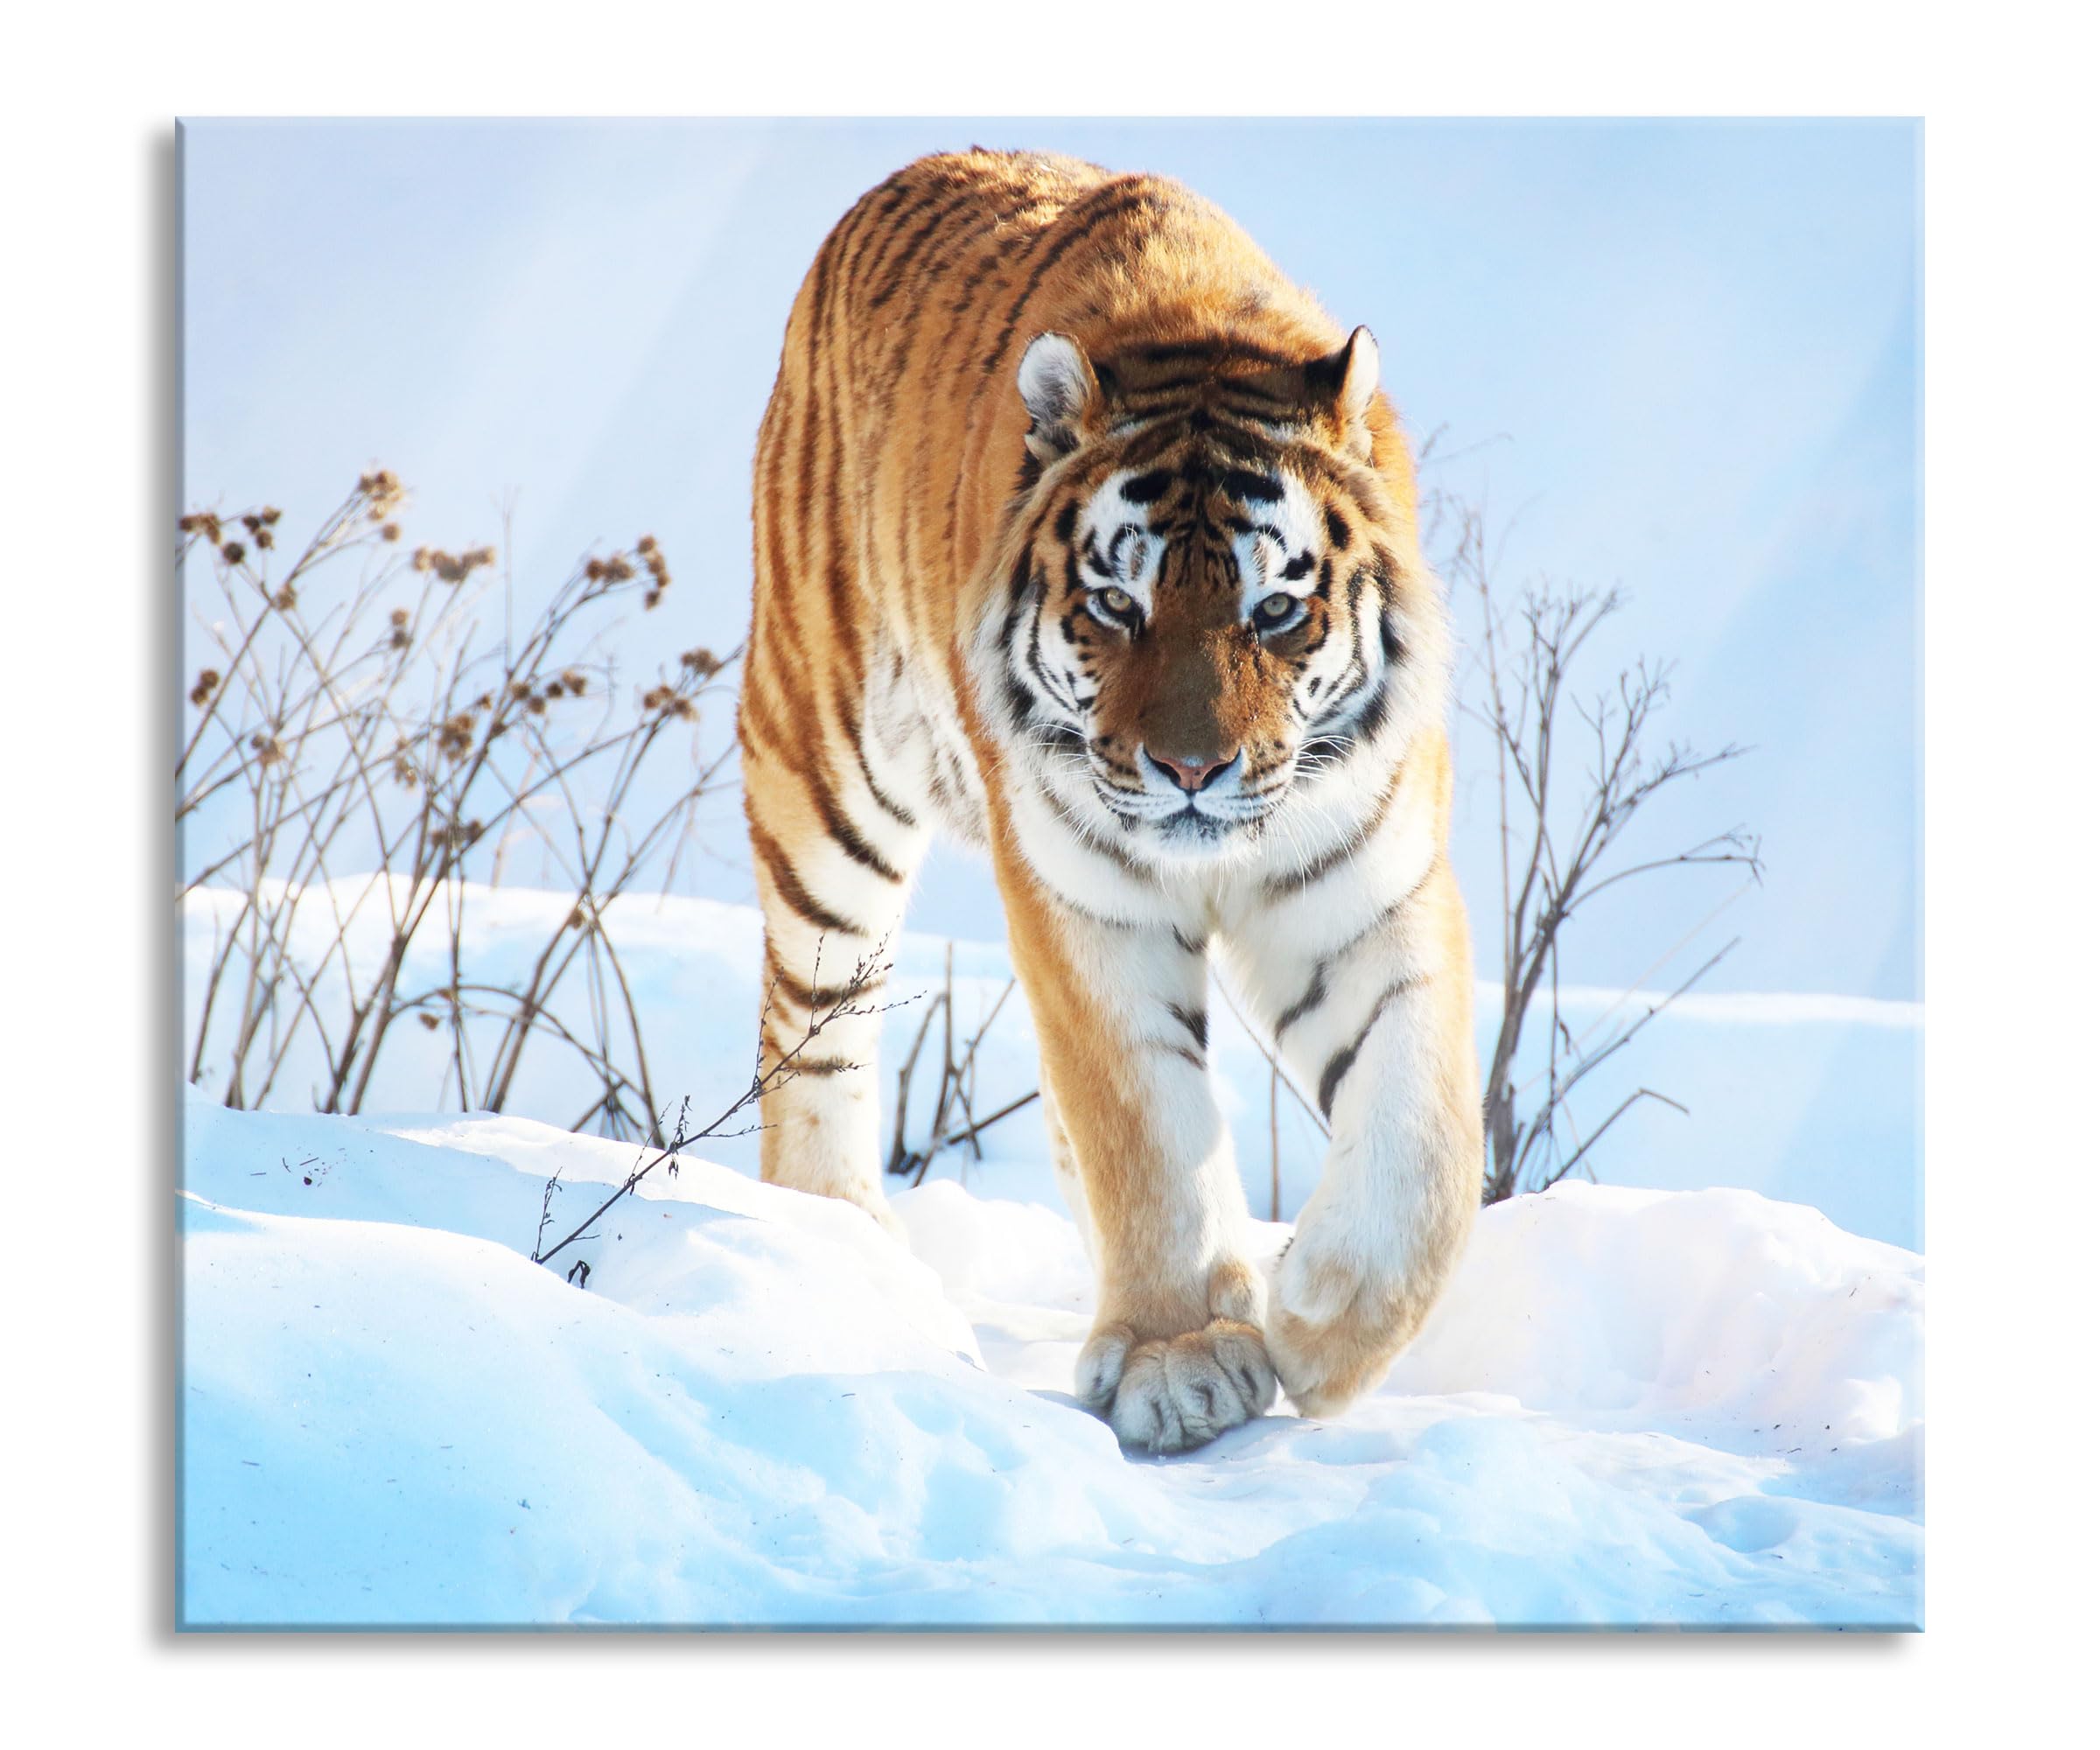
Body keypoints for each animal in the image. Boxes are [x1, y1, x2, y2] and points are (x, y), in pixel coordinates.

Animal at [738, 148, 1481, 1454]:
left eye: (1274, 612)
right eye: (1115, 607)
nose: (1190, 771)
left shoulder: (1365, 888)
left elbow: (1426, 1132)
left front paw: (1323, 1322)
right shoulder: (1086, 902)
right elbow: (1145, 1123)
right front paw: (1183, 1358)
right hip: (823, 773)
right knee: (815, 1023)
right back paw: (840, 1245)